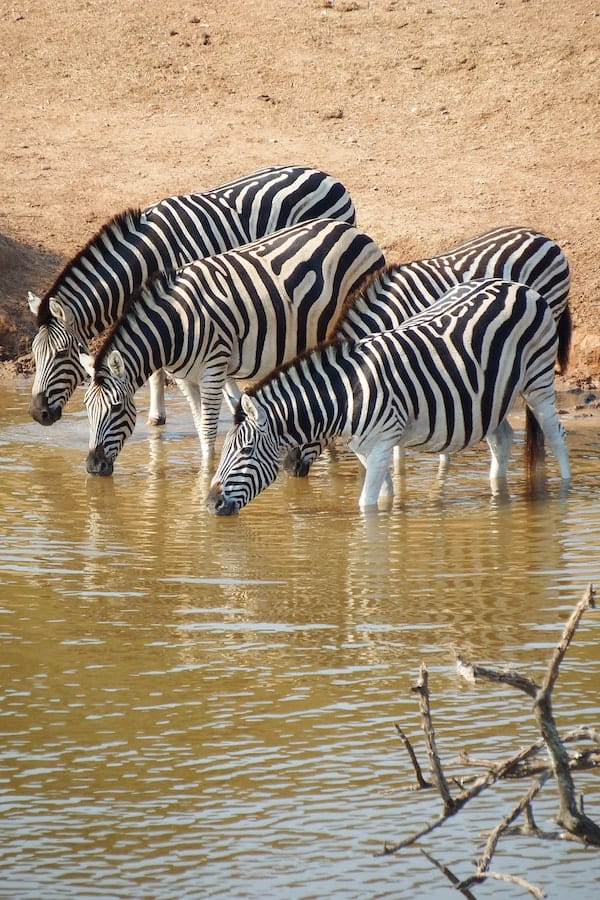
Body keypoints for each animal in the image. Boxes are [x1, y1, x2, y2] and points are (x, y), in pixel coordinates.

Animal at [27, 164, 358, 427]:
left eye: (61, 354)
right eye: (34, 353)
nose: (36, 414)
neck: (144, 259)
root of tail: (326, 176)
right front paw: (159, 416)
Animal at [79, 218, 385, 475]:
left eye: (116, 408)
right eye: (87, 408)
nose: (93, 466)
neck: (175, 325)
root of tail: (354, 230)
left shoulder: (213, 368)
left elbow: (209, 429)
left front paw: (206, 475)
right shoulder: (185, 378)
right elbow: (200, 426)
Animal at [206, 278, 571, 514]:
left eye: (246, 450)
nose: (211, 504)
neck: (346, 393)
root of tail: (520, 287)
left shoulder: (383, 442)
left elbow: (366, 505)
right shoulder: (366, 448)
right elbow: (383, 497)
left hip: (538, 380)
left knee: (555, 435)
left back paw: (564, 490)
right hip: (490, 397)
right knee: (502, 438)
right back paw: (498, 493)